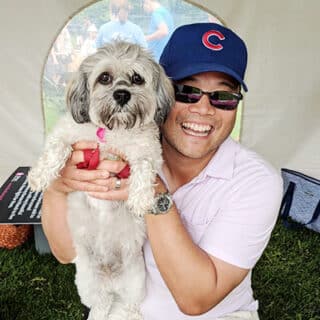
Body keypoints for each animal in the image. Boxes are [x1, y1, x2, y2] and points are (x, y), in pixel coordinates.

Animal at [28, 41, 174, 318]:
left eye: (137, 78)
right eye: (104, 78)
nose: (122, 95)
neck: (112, 130)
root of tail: (111, 280)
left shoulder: (147, 150)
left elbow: (143, 167)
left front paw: (140, 199)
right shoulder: (67, 133)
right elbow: (56, 149)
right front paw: (39, 176)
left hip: (136, 282)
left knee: (130, 305)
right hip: (87, 282)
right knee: (101, 303)